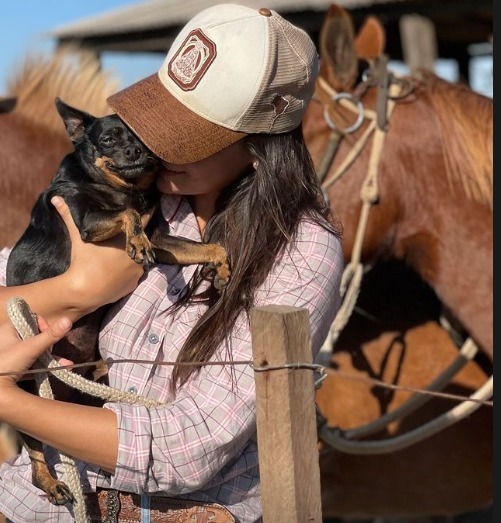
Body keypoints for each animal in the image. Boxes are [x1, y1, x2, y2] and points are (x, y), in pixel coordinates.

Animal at [5, 98, 229, 508]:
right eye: (109, 139)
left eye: (143, 140)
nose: (137, 152)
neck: (123, 188)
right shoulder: (87, 221)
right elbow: (127, 215)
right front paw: (135, 240)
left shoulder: (165, 243)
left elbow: (209, 246)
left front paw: (221, 266)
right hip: (29, 394)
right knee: (35, 455)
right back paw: (52, 484)